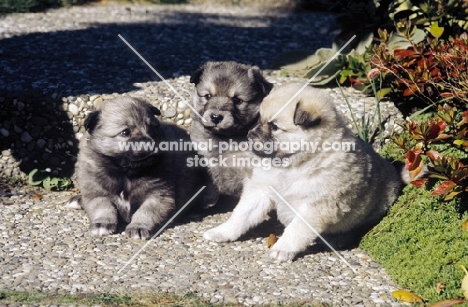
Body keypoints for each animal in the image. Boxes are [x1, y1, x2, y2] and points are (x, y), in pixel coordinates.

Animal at [67, 97, 203, 239]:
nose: (151, 145)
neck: (125, 172)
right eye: (125, 132)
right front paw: (102, 223)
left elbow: (146, 211)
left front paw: (138, 226)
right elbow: (103, 208)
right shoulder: (96, 193)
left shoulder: (159, 196)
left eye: (151, 128)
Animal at [188, 60, 272, 205]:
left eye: (237, 100)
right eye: (208, 96)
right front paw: (209, 200)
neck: (225, 138)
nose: (216, 117)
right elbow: (210, 184)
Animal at [203, 83, 404, 262]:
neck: (291, 164)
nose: (250, 135)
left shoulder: (315, 208)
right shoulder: (260, 191)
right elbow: (240, 216)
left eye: (274, 127)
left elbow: (296, 231)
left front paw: (283, 249)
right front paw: (222, 232)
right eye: (259, 120)